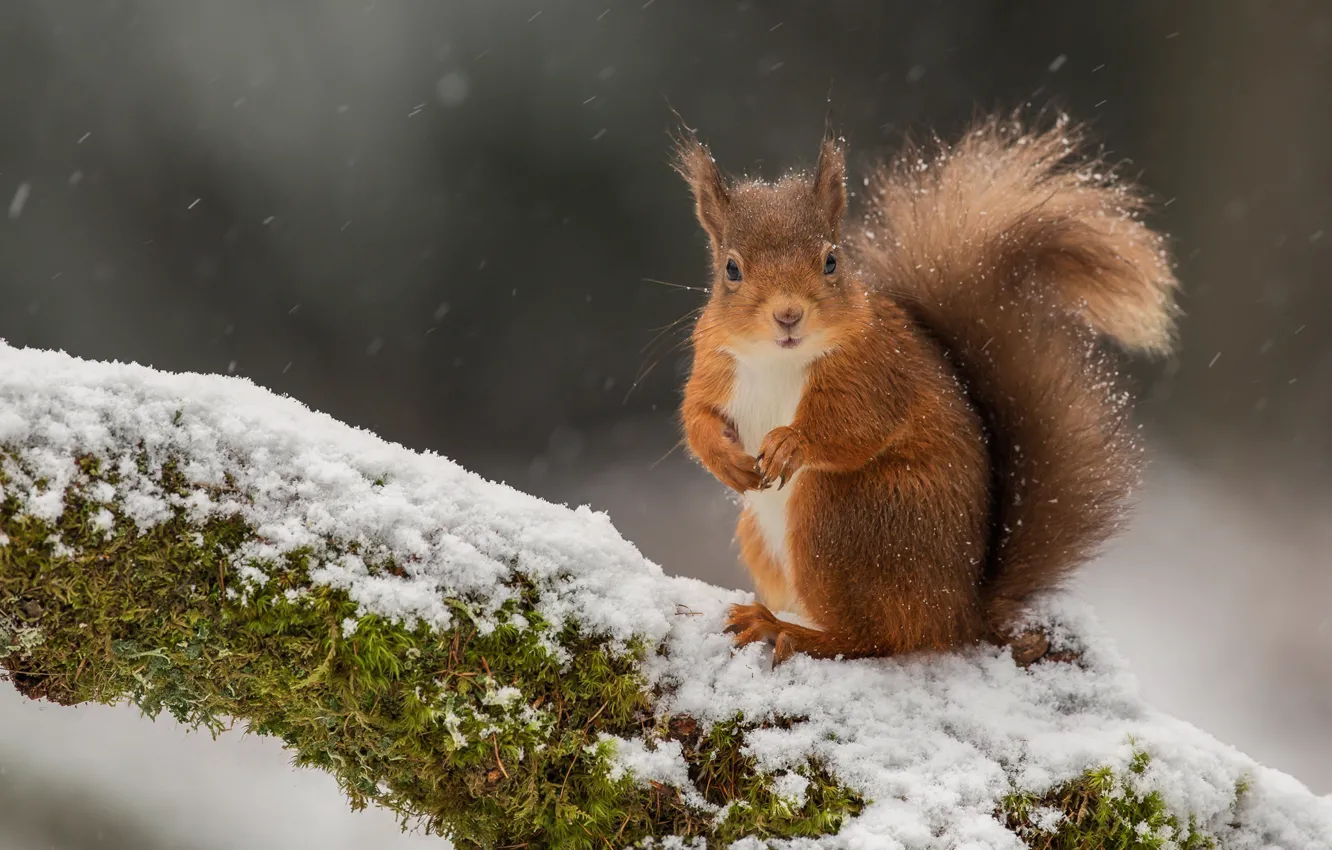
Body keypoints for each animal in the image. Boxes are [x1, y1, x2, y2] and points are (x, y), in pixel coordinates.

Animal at [676, 116, 1177, 666]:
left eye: (831, 261)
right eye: (731, 269)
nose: (788, 315)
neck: (778, 358)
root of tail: (960, 612)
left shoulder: (875, 371)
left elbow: (854, 424)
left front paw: (792, 442)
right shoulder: (714, 364)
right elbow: (697, 415)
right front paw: (724, 459)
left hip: (846, 514)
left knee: (877, 636)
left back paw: (786, 629)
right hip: (773, 534)